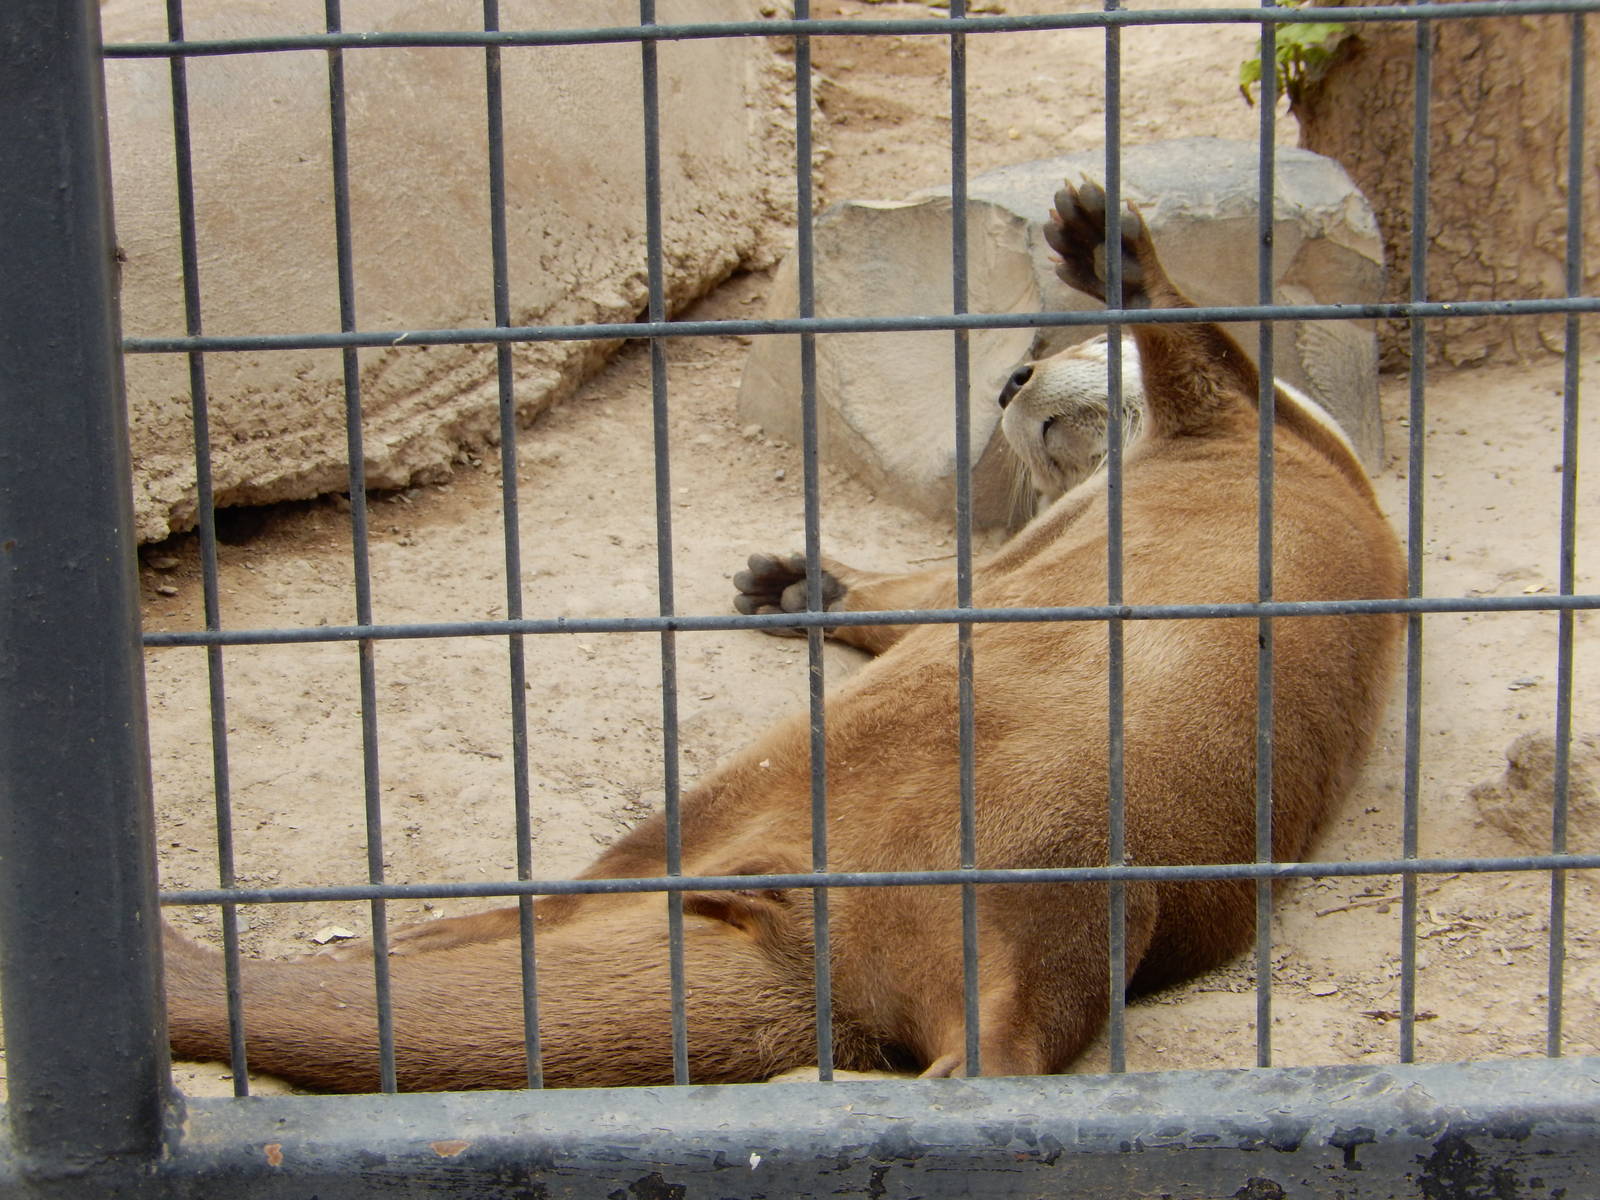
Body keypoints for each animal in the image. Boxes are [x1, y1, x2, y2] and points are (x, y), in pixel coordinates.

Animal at [162, 182, 1405, 1091]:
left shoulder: (1231, 410)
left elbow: (1188, 344)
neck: (1313, 448)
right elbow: (921, 586)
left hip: (828, 799)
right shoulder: (1034, 545)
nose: (1010, 373)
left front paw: (1109, 263)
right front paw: (799, 581)